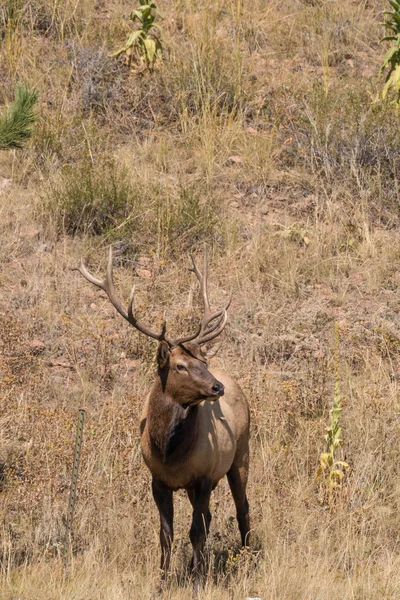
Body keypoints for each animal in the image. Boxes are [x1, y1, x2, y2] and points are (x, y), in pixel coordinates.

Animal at [76, 248, 250, 592]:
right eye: (180, 366)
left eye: (204, 361)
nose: (216, 387)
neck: (170, 452)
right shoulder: (157, 479)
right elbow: (166, 534)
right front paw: (161, 582)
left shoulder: (204, 476)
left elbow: (195, 532)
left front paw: (197, 582)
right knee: (211, 517)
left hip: (240, 455)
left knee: (242, 508)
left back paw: (249, 558)